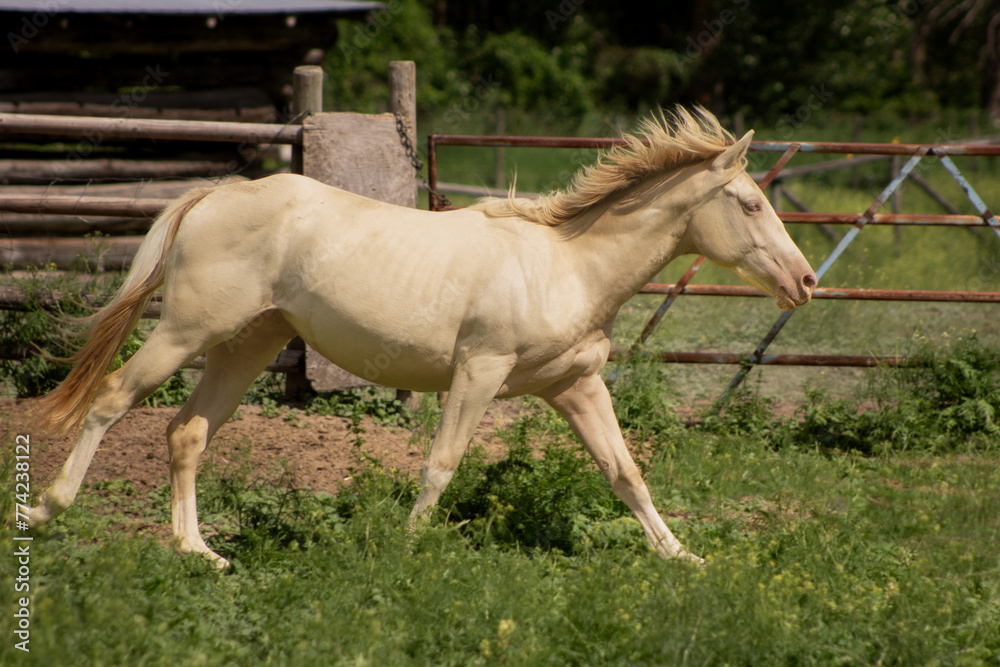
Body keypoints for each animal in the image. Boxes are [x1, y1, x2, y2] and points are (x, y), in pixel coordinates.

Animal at [27, 108, 816, 566]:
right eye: (750, 203)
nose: (806, 281)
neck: (568, 265)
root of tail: (215, 195)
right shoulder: (480, 371)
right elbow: (441, 464)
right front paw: (406, 548)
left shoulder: (576, 386)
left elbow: (626, 473)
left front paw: (684, 559)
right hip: (189, 330)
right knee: (111, 398)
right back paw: (47, 509)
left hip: (246, 344)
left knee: (187, 432)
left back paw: (200, 551)